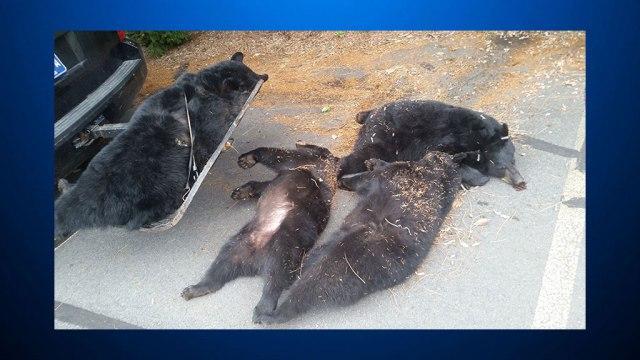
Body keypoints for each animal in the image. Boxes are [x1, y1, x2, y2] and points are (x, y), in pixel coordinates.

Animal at [52, 52, 268, 238]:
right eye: (249, 80)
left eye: (251, 71)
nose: (264, 75)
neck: (205, 85)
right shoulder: (213, 118)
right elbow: (219, 128)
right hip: (159, 187)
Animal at [180, 142, 340, 322]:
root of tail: (258, 262)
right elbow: (265, 183)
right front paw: (241, 190)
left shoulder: (305, 164)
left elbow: (280, 157)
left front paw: (247, 159)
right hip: (240, 245)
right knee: (221, 265)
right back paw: (196, 288)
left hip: (285, 245)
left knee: (277, 276)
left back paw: (263, 308)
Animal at [254, 150, 460, 324]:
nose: (433, 153)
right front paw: (372, 161)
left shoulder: (393, 174)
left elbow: (370, 177)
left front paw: (346, 178)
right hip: (328, 250)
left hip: (344, 265)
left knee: (307, 293)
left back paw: (268, 313)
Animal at [338, 100, 528, 191]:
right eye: (501, 166)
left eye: (514, 161)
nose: (521, 182)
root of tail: (371, 117)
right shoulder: (450, 138)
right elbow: (442, 154)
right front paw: (475, 176)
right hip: (385, 138)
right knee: (361, 156)